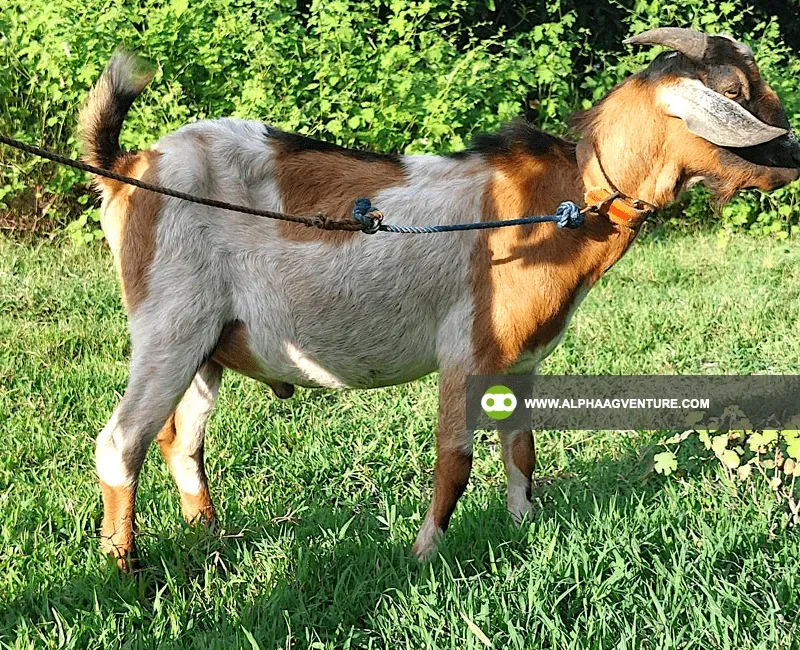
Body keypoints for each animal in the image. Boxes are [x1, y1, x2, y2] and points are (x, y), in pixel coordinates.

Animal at [79, 28, 800, 569]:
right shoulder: (466, 351)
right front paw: (424, 555)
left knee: (180, 441)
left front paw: (525, 526)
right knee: (120, 443)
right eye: (734, 93)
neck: (565, 200)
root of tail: (129, 168)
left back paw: (209, 536)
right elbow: (454, 461)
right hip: (170, 325)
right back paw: (124, 568)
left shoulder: (522, 359)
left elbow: (521, 447)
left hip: (210, 346)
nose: (793, 158)